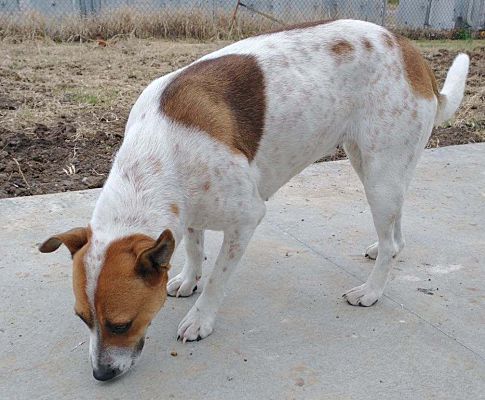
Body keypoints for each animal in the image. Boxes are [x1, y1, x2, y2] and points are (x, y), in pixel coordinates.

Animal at [39, 19, 466, 382]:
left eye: (121, 324)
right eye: (83, 319)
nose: (100, 375)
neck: (157, 155)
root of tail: (412, 54)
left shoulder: (246, 220)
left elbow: (217, 280)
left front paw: (200, 318)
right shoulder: (188, 212)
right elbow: (193, 248)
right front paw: (188, 279)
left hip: (379, 174)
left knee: (392, 240)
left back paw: (372, 290)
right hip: (374, 167)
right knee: (396, 230)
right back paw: (380, 248)